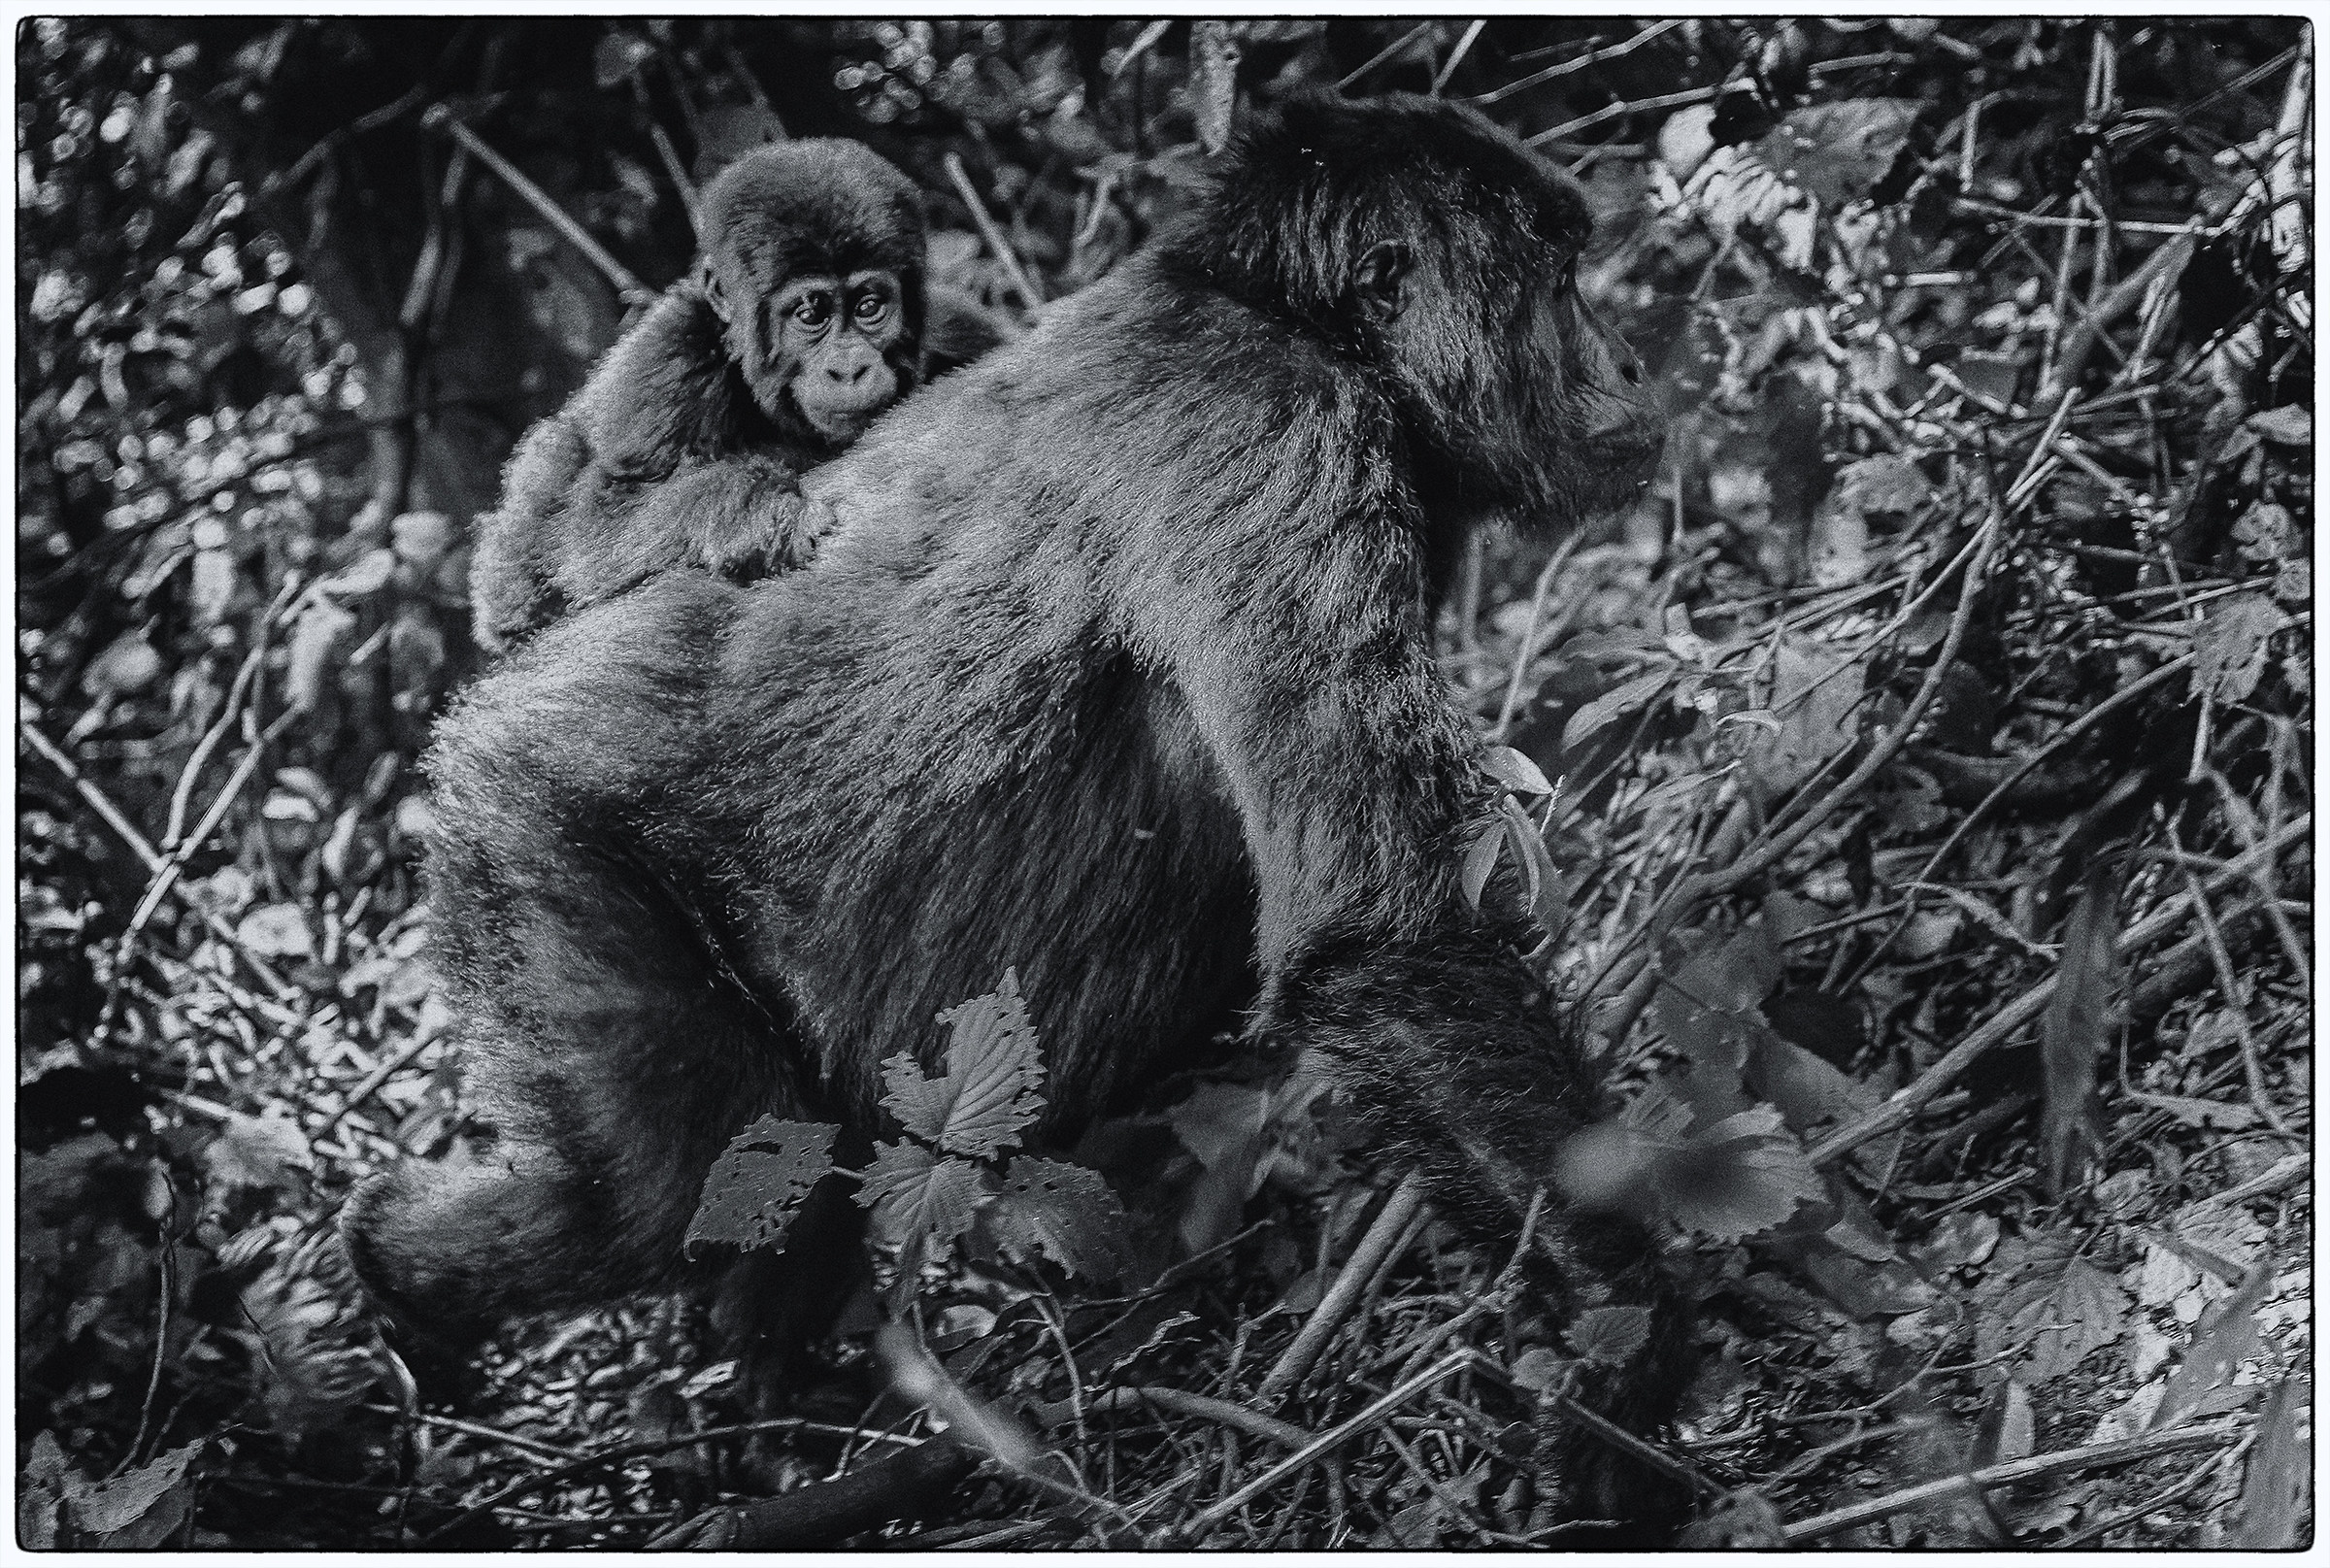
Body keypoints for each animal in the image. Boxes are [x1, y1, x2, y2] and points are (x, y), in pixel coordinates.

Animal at [467, 138, 1005, 655]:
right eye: (810, 315)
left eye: (869, 306)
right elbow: (599, 521)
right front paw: (753, 513)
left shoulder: (959, 329)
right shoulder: (671, 358)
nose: (849, 369)